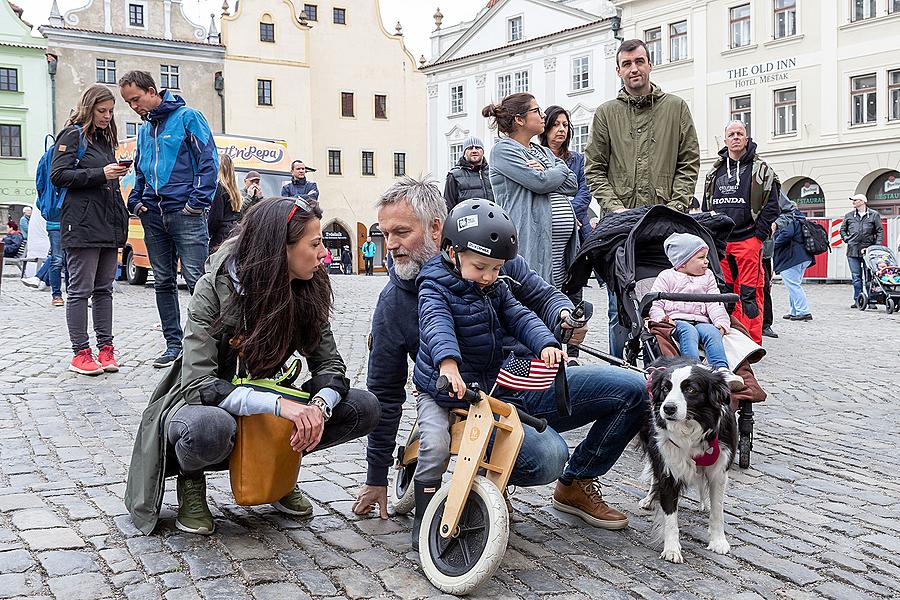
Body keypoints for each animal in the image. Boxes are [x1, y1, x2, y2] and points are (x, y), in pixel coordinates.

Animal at [636, 358, 736, 564]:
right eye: (665, 388)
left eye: (691, 389)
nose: (668, 408)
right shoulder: (668, 465)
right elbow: (670, 514)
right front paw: (672, 549)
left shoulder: (719, 470)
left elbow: (718, 510)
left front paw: (718, 541)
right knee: (655, 476)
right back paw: (649, 499)